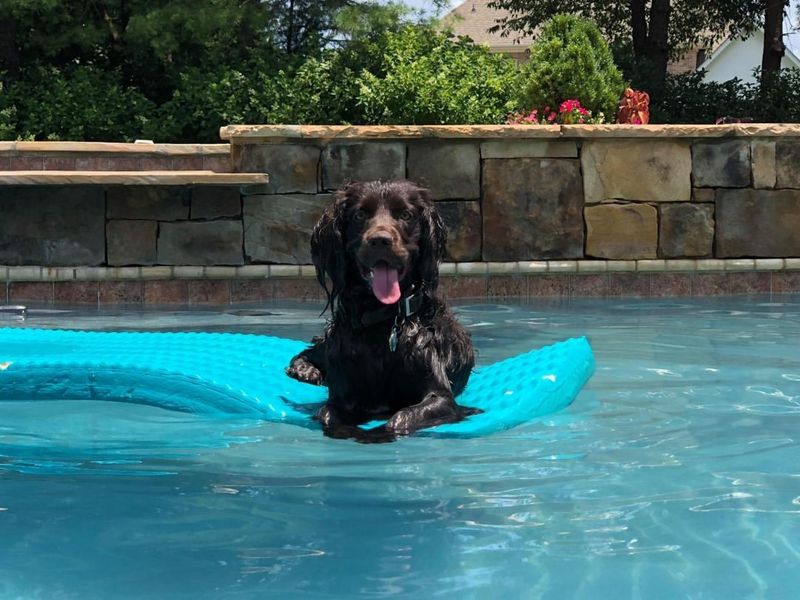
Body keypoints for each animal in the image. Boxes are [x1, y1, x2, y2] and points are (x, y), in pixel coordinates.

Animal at [286, 178, 478, 440]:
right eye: (359, 215)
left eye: (406, 215)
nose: (380, 240)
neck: (382, 321)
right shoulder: (342, 392)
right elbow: (328, 413)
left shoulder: (441, 398)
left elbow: (400, 418)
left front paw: (378, 433)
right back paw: (304, 369)